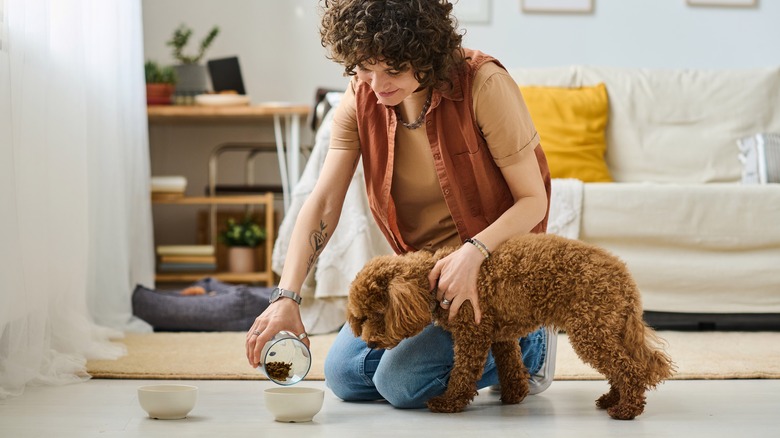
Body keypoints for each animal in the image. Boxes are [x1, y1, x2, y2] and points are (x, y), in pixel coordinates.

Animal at [348, 234, 676, 420]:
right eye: (360, 318)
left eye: (378, 313)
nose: (370, 343)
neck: (436, 277)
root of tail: (625, 278)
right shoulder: (499, 334)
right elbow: (510, 364)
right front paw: (514, 394)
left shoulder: (473, 333)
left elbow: (463, 372)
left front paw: (450, 402)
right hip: (606, 327)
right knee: (625, 365)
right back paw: (613, 399)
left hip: (591, 330)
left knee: (629, 369)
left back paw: (627, 409)